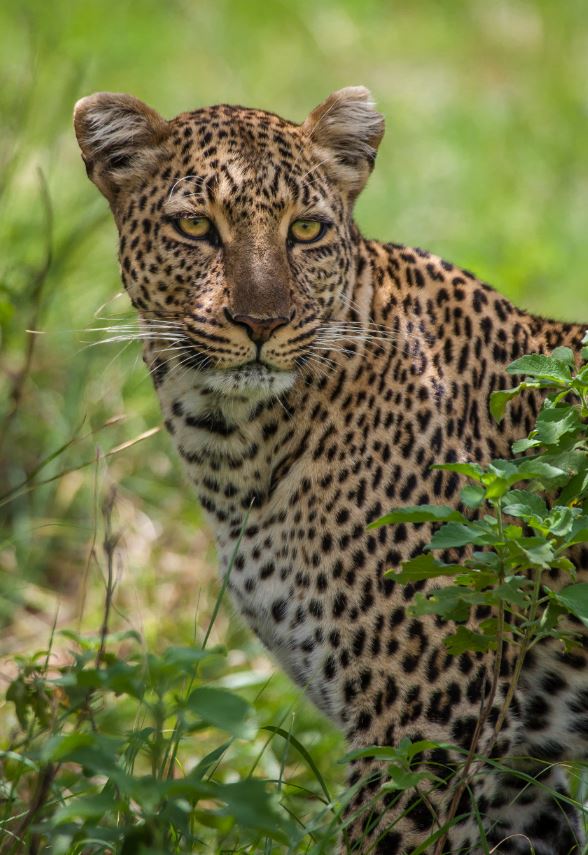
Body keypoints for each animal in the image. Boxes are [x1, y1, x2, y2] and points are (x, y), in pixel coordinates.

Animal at [73, 87, 588, 853]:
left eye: (307, 229)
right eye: (195, 226)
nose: (263, 322)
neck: (233, 443)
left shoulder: (420, 728)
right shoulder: (518, 771)